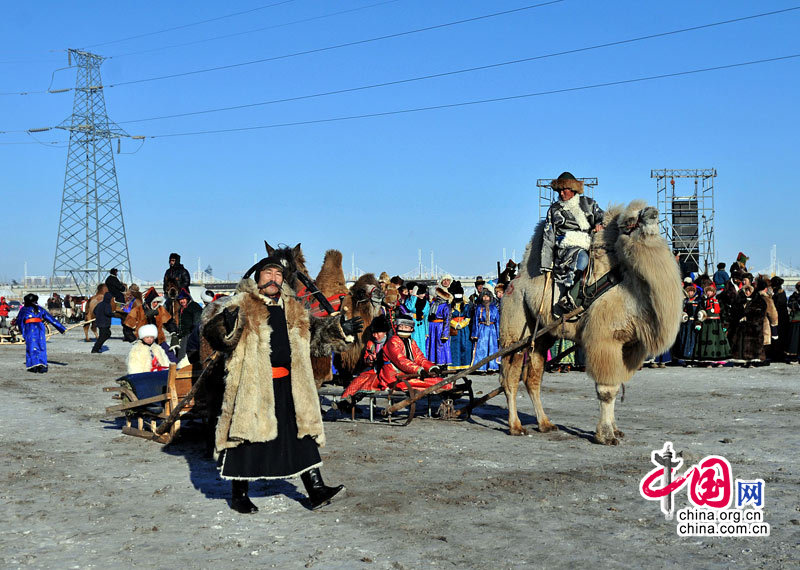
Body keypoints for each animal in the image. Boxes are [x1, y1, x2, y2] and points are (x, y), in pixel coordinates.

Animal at [500, 200, 680, 444]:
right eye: (631, 221)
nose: (652, 212)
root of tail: (511, 285)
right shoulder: (604, 339)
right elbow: (607, 390)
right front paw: (606, 436)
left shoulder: (628, 346)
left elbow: (616, 384)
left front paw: (616, 430)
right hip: (516, 328)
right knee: (509, 377)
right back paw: (516, 426)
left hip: (542, 337)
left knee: (532, 378)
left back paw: (545, 424)